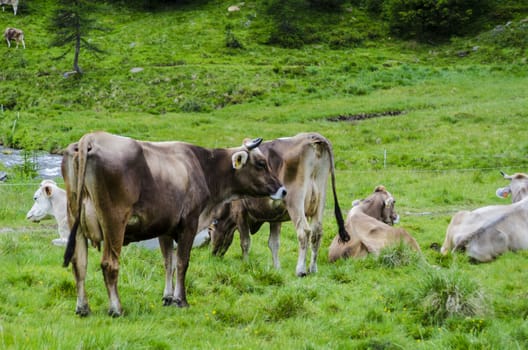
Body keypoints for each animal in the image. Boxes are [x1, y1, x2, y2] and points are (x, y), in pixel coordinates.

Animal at [61, 132, 284, 318]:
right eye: (261, 163)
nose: (282, 190)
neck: (202, 166)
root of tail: (91, 138)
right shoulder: (189, 223)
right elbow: (182, 263)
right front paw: (181, 300)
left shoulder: (165, 228)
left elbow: (168, 262)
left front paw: (168, 297)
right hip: (114, 223)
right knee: (109, 264)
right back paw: (116, 308)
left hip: (76, 222)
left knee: (79, 264)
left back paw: (83, 308)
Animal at [209, 133, 350, 278]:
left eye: (210, 229)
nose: (213, 255)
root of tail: (312, 136)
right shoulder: (275, 217)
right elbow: (274, 243)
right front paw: (276, 269)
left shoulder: (240, 212)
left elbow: (245, 242)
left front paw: (246, 264)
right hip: (320, 199)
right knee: (317, 232)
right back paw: (312, 269)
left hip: (295, 201)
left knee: (304, 232)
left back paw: (301, 270)